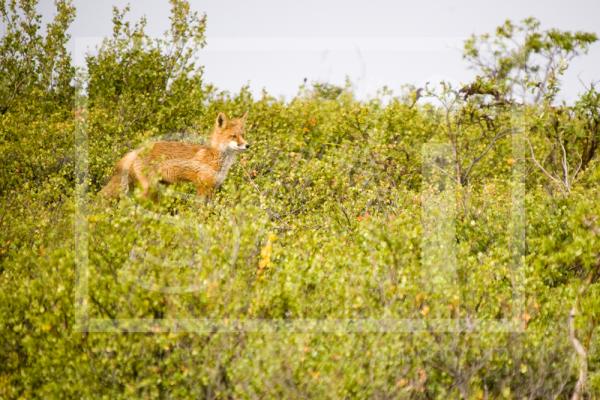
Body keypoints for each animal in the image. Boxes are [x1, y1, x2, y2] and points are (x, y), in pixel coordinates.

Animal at [101, 111, 248, 199]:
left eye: (242, 135)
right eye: (233, 136)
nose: (248, 145)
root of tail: (138, 150)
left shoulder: (213, 188)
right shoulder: (202, 186)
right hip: (148, 188)